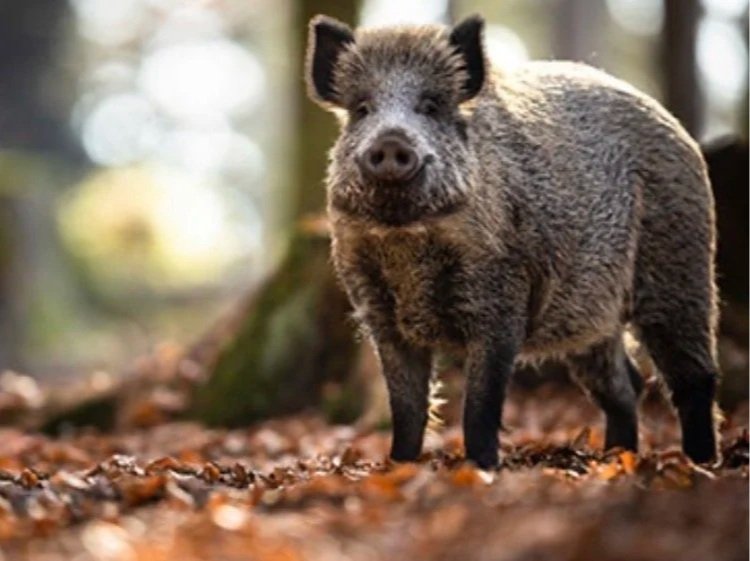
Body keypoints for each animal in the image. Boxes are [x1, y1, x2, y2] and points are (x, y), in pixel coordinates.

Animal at [304, 14, 720, 469]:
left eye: (430, 107)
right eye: (362, 110)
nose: (391, 141)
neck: (406, 239)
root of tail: (676, 126)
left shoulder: (502, 298)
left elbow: (480, 405)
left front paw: (483, 469)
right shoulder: (379, 313)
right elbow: (407, 408)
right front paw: (399, 468)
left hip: (681, 264)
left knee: (693, 377)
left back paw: (701, 464)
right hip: (589, 313)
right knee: (624, 382)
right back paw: (615, 457)